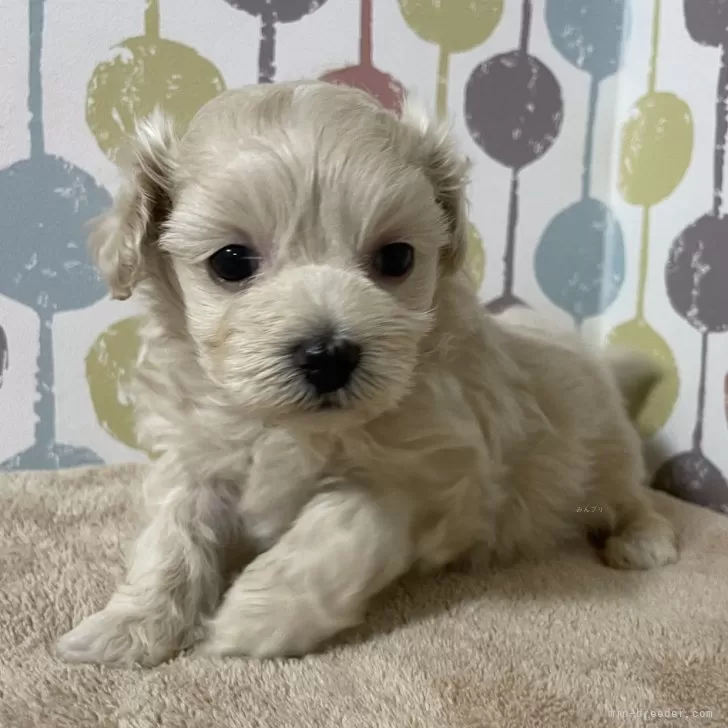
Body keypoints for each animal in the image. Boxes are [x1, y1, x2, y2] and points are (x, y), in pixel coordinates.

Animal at [55, 82, 676, 668]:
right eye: (230, 262)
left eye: (397, 258)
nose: (328, 355)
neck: (290, 428)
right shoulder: (191, 456)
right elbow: (171, 535)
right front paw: (128, 626)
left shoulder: (444, 473)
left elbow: (347, 519)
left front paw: (257, 615)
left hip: (605, 459)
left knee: (634, 498)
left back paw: (644, 541)